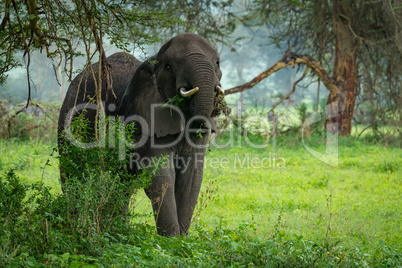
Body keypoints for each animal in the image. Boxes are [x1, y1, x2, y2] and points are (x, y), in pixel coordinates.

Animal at [58, 33, 226, 237]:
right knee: (72, 173)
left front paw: (182, 239)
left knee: (122, 184)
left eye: (217, 63)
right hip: (70, 117)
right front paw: (171, 240)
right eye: (168, 66)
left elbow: (192, 175)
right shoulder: (144, 118)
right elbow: (162, 175)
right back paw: (73, 227)